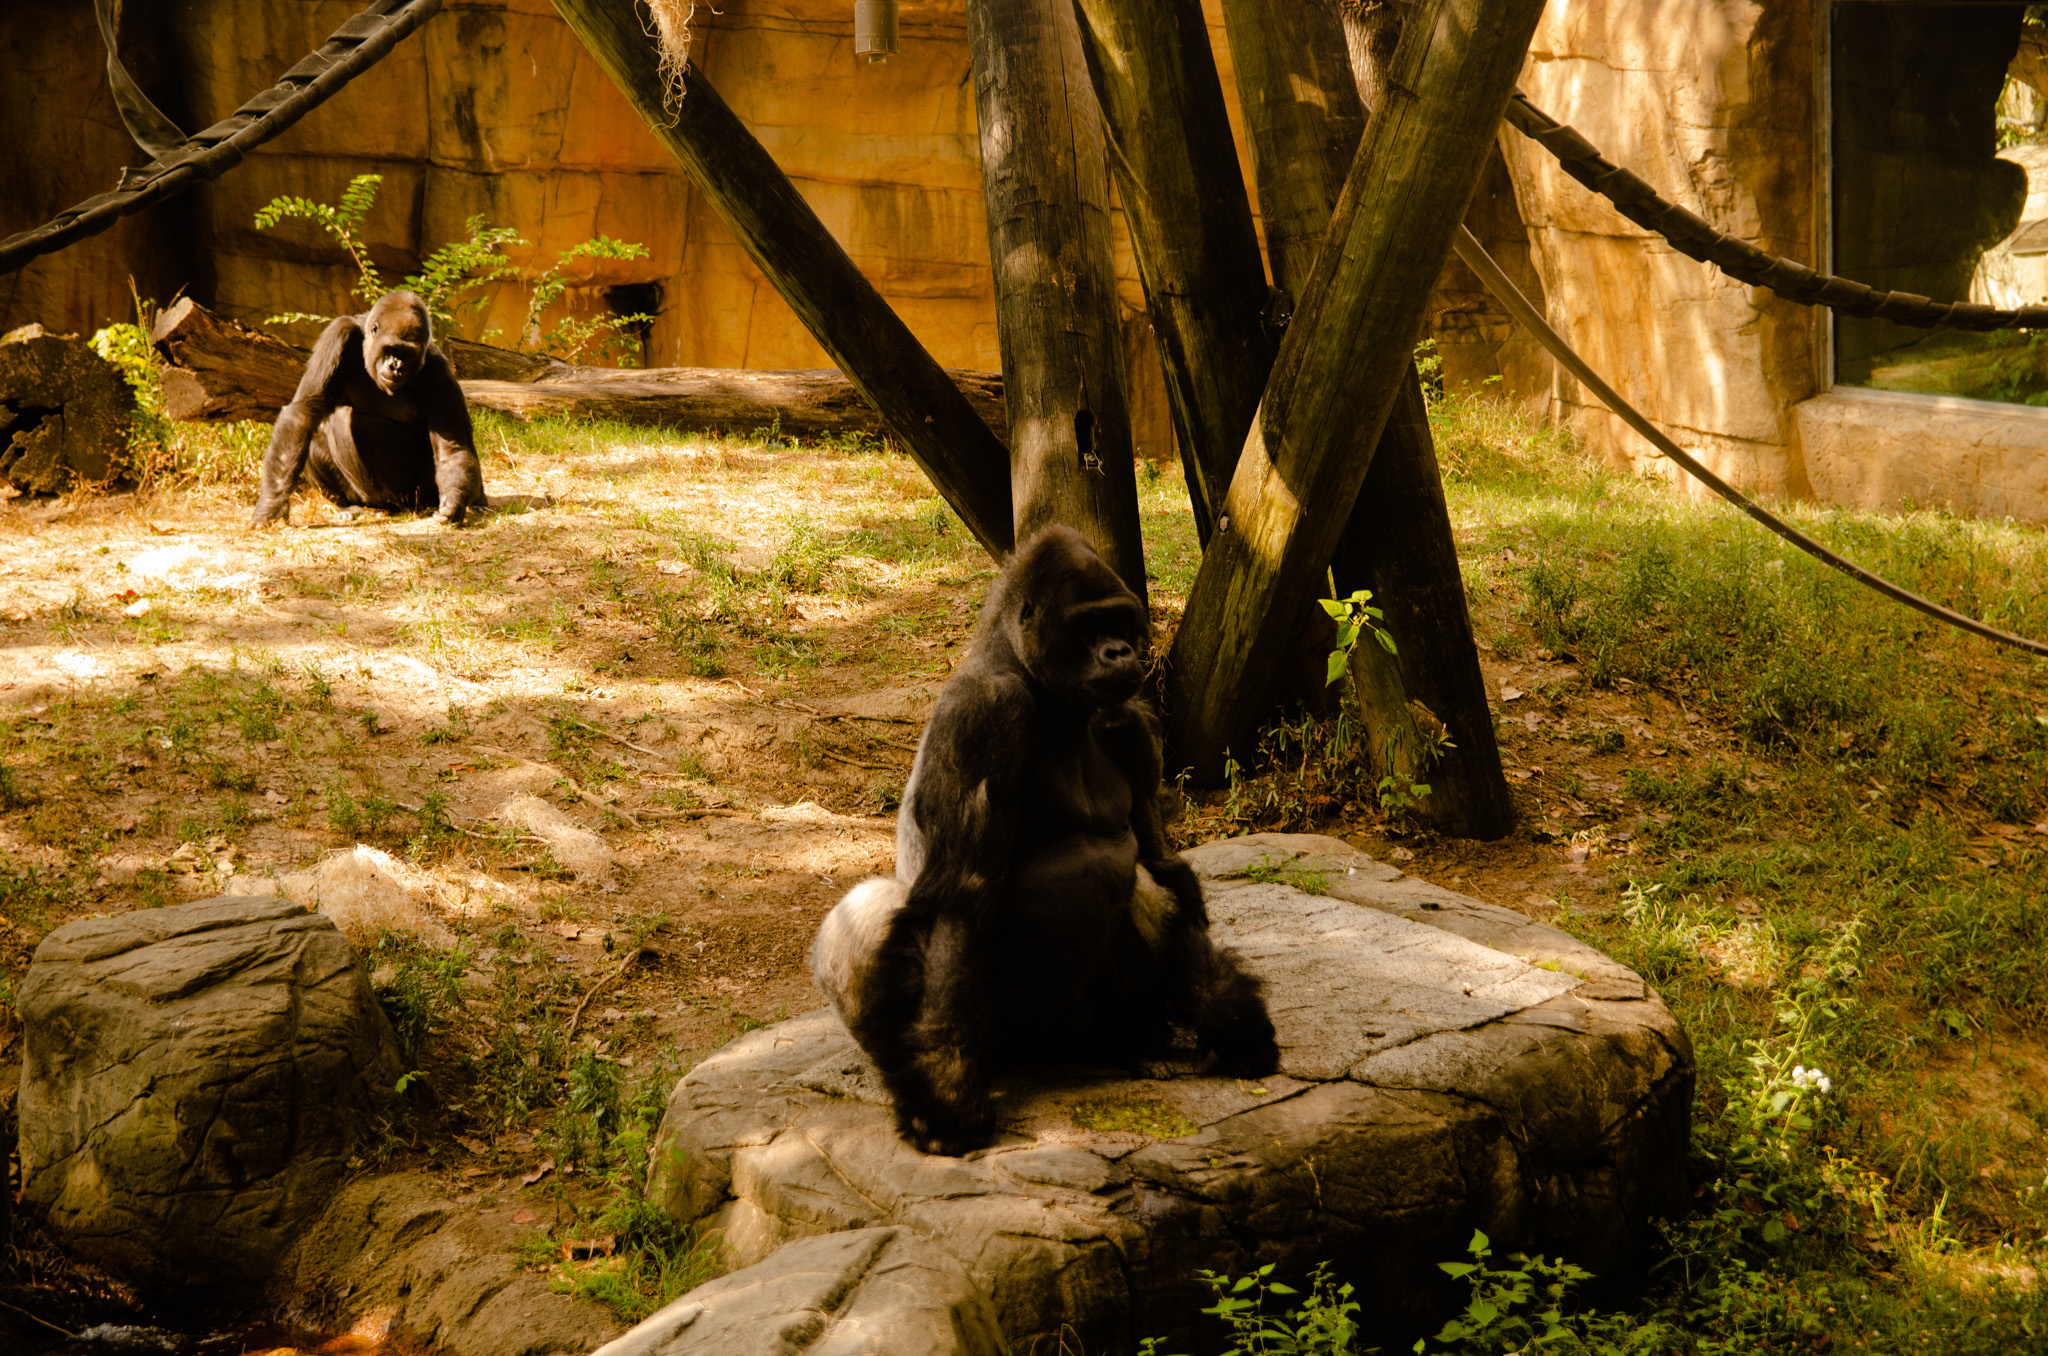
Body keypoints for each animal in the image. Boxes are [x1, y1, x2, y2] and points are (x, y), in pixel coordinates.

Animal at [249, 291, 485, 527]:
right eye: (390, 349)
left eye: (408, 354)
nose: (396, 367)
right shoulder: (338, 334)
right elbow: (303, 413)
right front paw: (271, 505)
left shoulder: (439, 369)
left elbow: (452, 448)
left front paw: (454, 499)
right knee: (316, 434)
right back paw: (351, 507)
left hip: (413, 497)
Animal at [810, 524, 1278, 1156]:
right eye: (1087, 626)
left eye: (1120, 621)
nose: (1121, 652)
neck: (1052, 698)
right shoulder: (984, 711)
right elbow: (960, 899)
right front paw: (945, 1093)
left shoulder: (1131, 723)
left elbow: (1162, 865)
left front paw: (1226, 1016)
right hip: (1007, 1045)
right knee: (869, 911)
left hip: (1089, 1027)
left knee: (1138, 887)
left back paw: (1135, 1042)